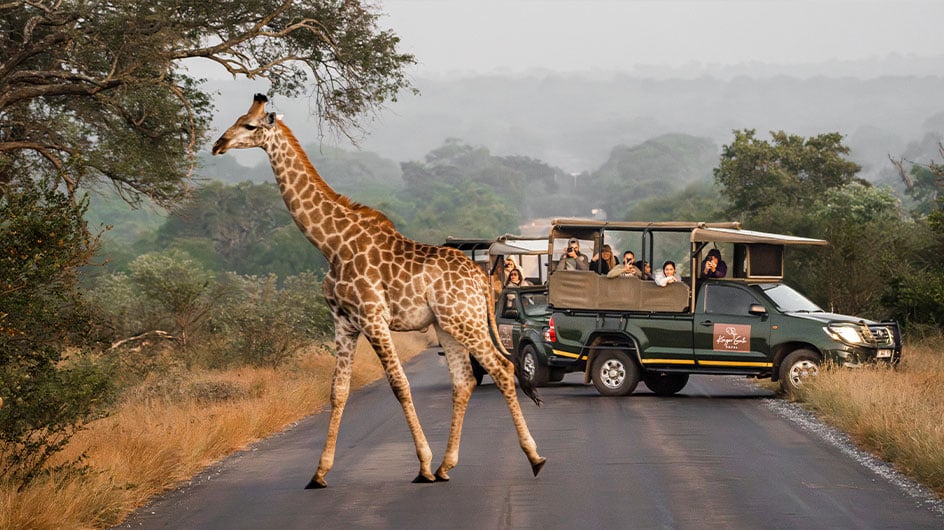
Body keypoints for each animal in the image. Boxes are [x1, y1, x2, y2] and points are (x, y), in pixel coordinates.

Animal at [212, 94, 546, 488]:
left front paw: (421, 466)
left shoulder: (373, 318)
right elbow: (338, 391)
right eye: (237, 119)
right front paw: (319, 473)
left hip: (466, 321)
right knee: (464, 381)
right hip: (446, 326)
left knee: (502, 368)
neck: (331, 245)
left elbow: (399, 385)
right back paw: (446, 466)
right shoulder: (343, 321)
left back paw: (533, 458)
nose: (218, 144)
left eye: (249, 125)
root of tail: (480, 279)